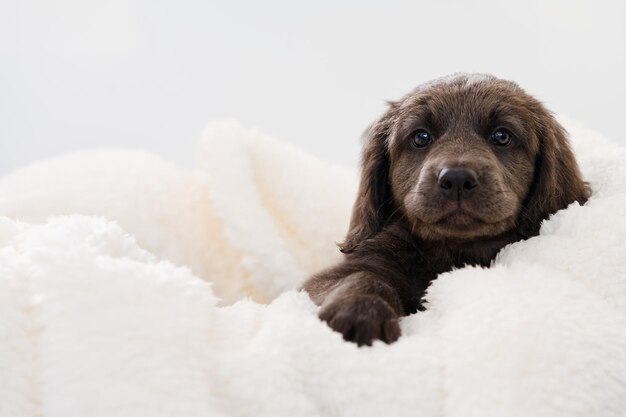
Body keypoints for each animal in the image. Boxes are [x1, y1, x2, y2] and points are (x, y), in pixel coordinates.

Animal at [302, 74, 588, 344]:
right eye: (421, 137)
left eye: (501, 136)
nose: (457, 179)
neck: (453, 252)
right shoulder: (334, 275)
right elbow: (365, 276)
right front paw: (358, 312)